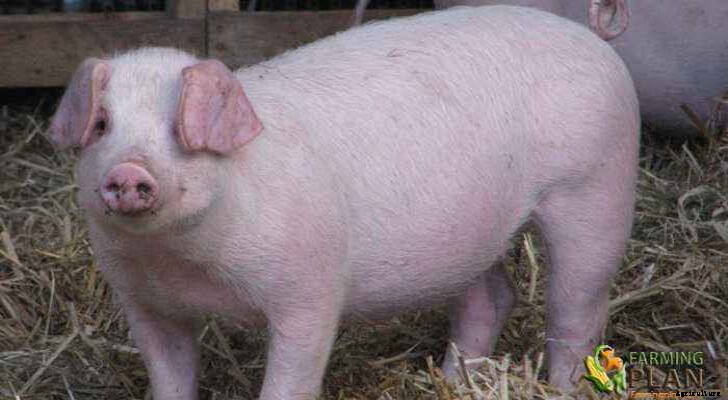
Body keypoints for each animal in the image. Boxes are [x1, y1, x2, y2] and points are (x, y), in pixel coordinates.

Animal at [49, 6, 639, 399]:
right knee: (490, 298)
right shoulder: (142, 301)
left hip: (595, 188)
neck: (186, 266)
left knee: (576, 312)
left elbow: (291, 379)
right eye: (102, 125)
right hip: (473, 233)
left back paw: (563, 386)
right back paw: (452, 382)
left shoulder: (310, 288)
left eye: (179, 127)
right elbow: (169, 376)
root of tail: (589, 36)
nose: (128, 172)